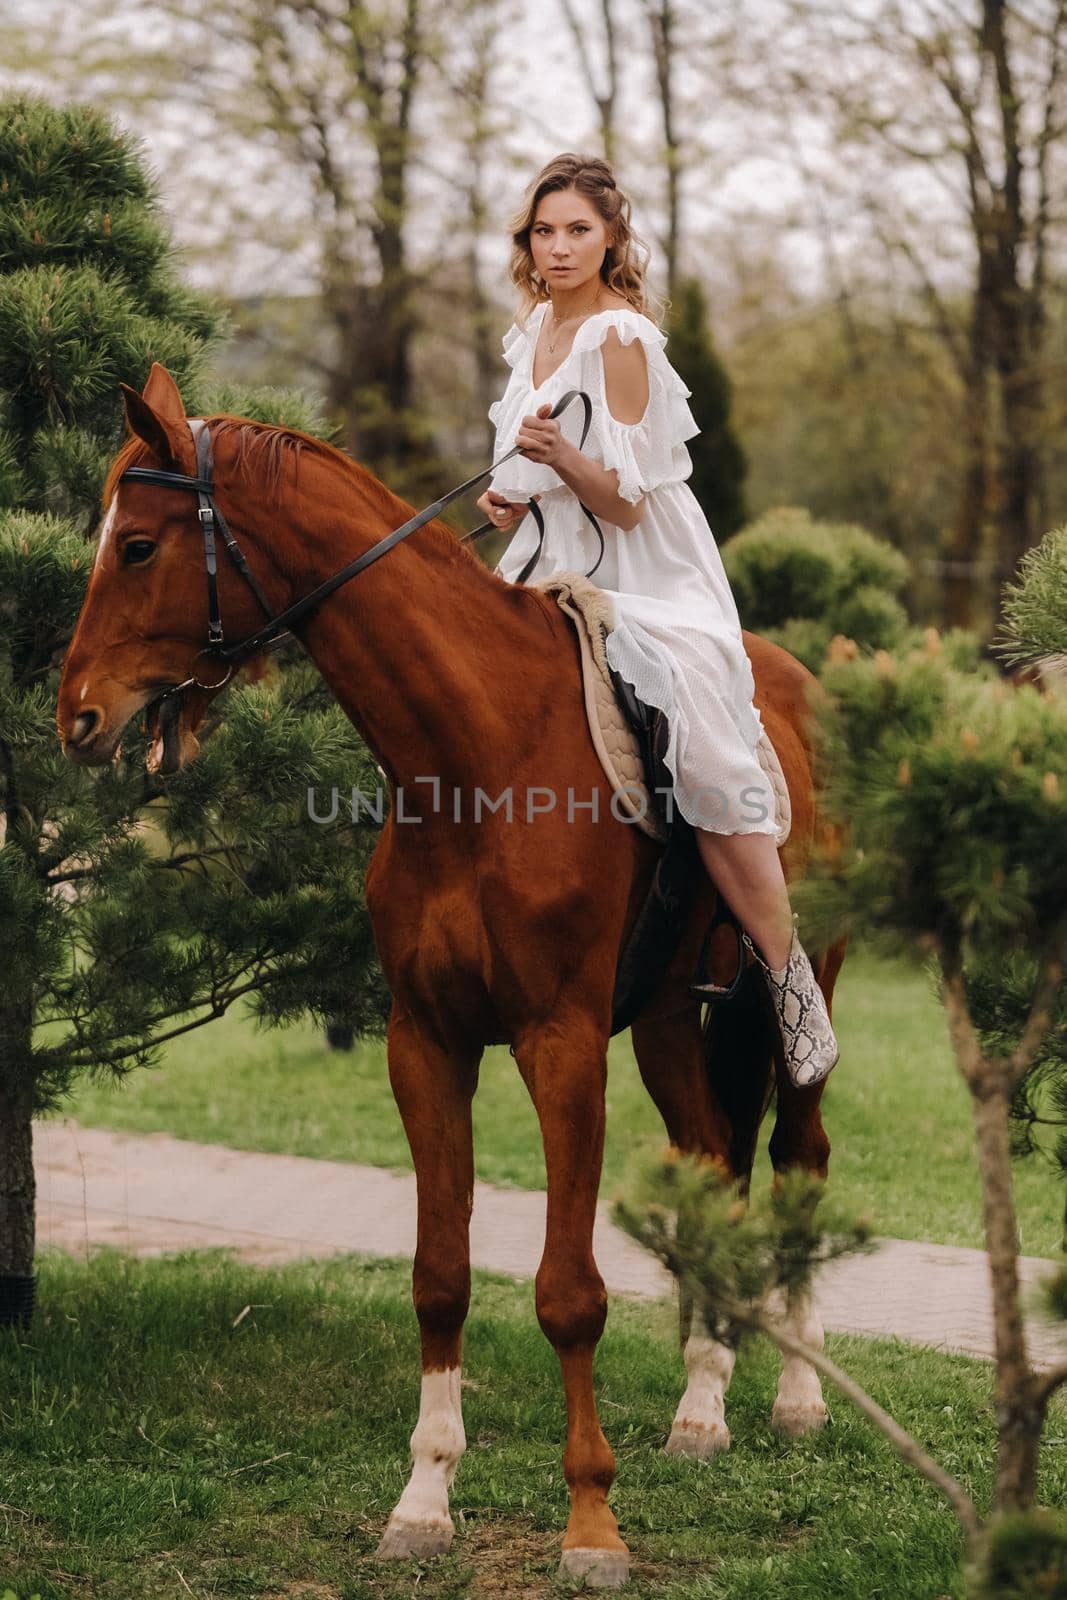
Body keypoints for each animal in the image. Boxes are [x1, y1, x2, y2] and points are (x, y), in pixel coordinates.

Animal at [58, 366, 844, 1587]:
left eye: (137, 547)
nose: (76, 714)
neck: (477, 755)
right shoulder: (424, 1041)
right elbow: (439, 1273)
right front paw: (423, 1500)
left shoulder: (559, 1042)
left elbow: (568, 1294)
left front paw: (590, 1525)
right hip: (670, 1022)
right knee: (712, 1160)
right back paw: (703, 1407)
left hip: (793, 998)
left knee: (797, 1156)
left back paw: (799, 1395)